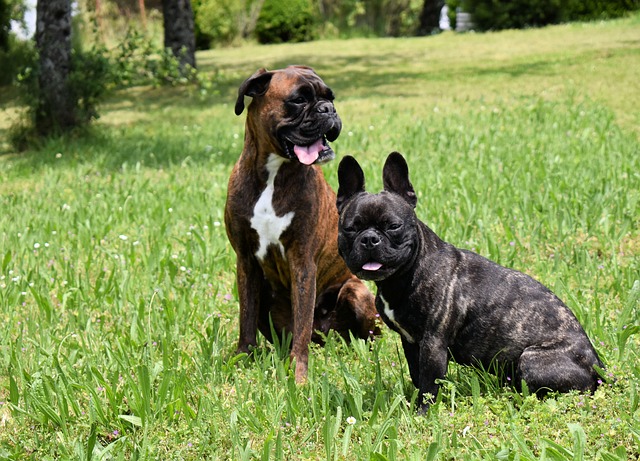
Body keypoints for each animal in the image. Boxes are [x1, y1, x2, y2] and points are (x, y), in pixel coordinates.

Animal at [225, 64, 378, 380]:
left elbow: (302, 322)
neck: (273, 174)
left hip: (355, 292)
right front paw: (243, 358)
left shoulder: (303, 261)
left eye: (330, 97)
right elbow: (246, 316)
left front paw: (298, 375)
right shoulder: (245, 260)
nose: (328, 109)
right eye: (298, 100)